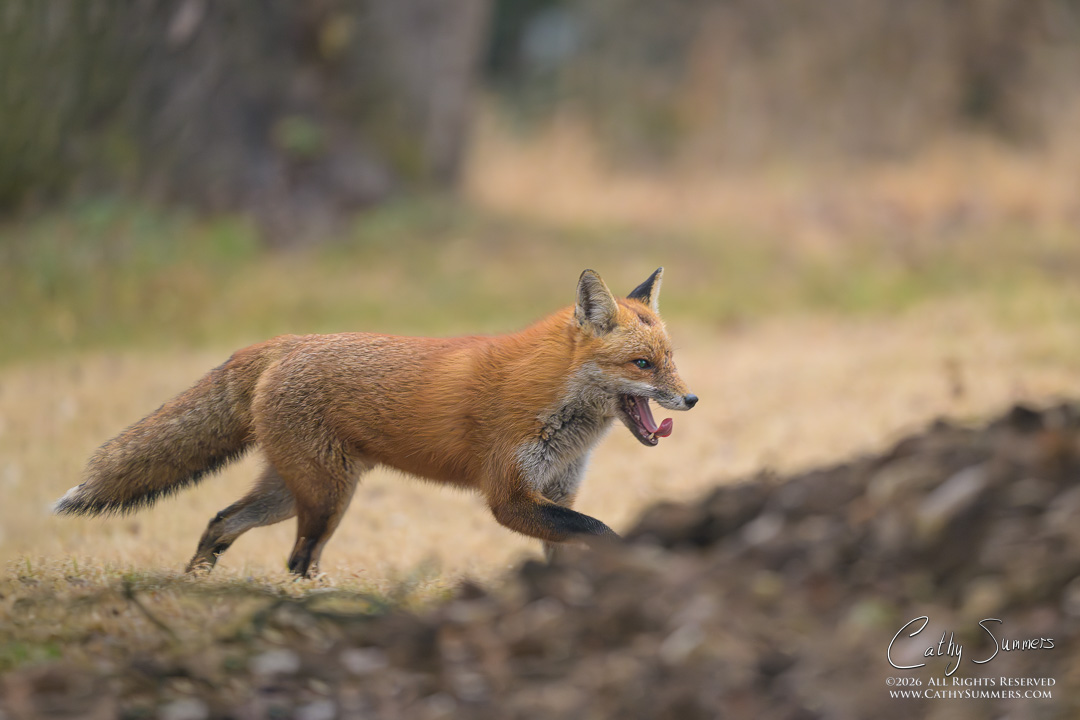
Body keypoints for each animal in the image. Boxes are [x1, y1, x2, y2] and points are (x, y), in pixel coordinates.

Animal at [55, 268, 697, 577]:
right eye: (642, 365)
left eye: (671, 359)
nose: (690, 399)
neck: (559, 414)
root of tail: (286, 342)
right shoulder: (510, 498)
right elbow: (603, 530)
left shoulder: (554, 495)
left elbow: (572, 546)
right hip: (327, 497)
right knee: (297, 559)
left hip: (293, 492)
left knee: (221, 521)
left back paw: (195, 582)